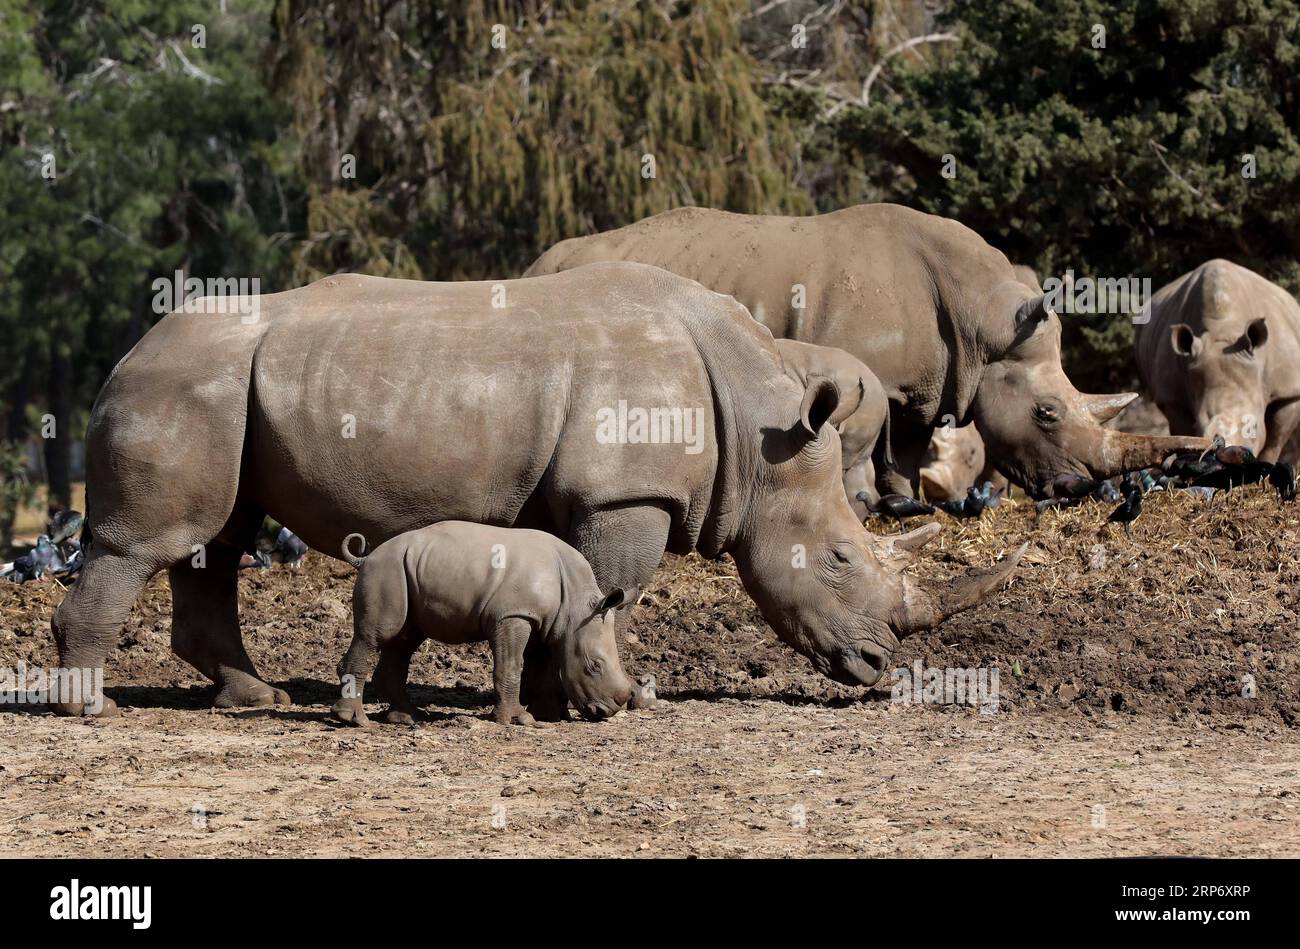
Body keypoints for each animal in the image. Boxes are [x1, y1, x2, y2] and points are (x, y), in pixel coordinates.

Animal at [50, 258, 1019, 707]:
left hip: (217, 388)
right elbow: (617, 588)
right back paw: (89, 708)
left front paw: (561, 691)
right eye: (842, 559)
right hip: (179, 384)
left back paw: (257, 699)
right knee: (154, 542)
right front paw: (610, 696)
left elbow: (579, 587)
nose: (878, 664)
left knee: (215, 539)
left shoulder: (582, 495)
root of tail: (122, 356)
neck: (758, 429)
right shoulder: (625, 495)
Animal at [332, 520, 631, 728]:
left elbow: (542, 665)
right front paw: (518, 720)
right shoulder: (512, 615)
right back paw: (355, 721)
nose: (608, 711)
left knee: (404, 640)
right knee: (377, 636)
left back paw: (409, 717)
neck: (576, 605)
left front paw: (549, 716)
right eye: (594, 666)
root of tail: (366, 556)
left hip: (406, 569)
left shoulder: (546, 622)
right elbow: (512, 665)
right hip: (386, 569)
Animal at [522, 205, 1201, 496]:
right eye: (1047, 414)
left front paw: (903, 504)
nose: (1076, 488)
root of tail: (535, 263)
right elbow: (868, 436)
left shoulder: (930, 379)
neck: (984, 328)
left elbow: (909, 441)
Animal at [1133, 258, 1300, 457]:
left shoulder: (1289, 390)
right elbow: (1183, 434)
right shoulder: (1171, 397)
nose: (1229, 450)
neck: (1223, 329)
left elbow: (1274, 442)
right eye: (1198, 427)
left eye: (1254, 427)